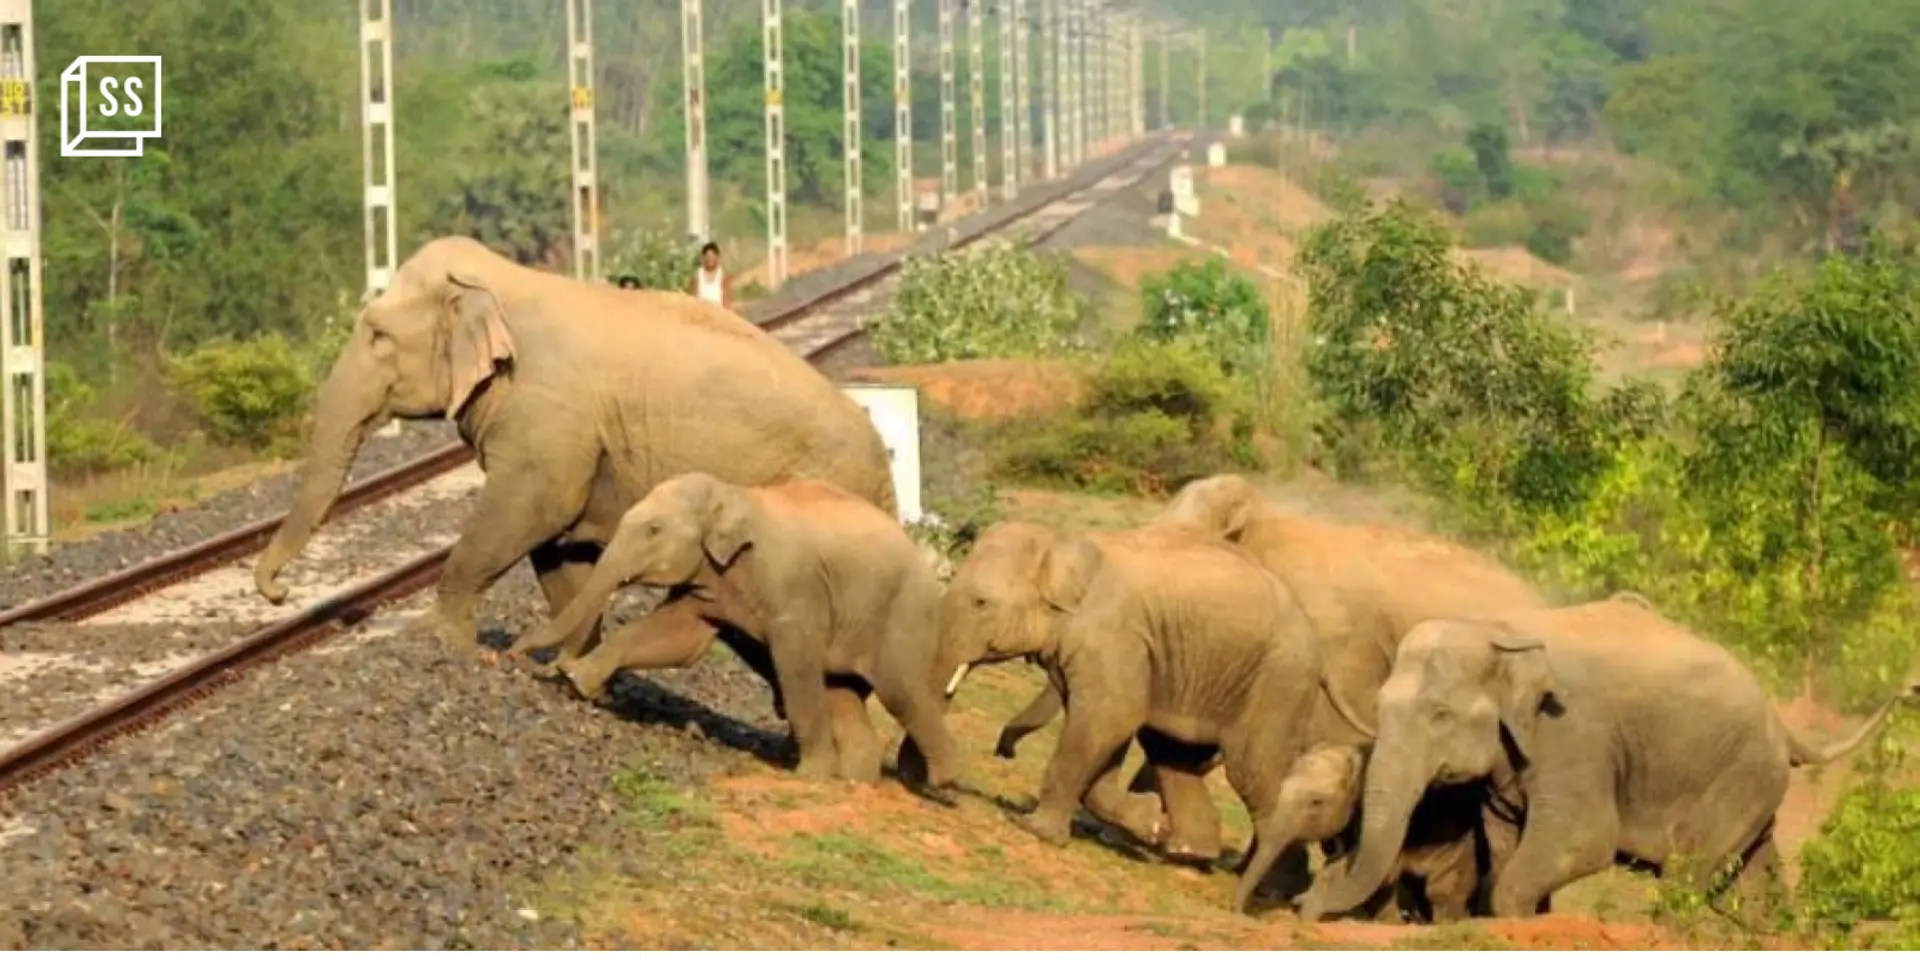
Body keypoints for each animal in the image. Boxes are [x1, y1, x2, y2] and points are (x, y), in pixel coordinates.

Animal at [251, 237, 896, 666]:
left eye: (377, 335)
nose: (278, 593)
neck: (501, 281)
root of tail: (881, 457)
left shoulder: (548, 413)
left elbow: (533, 507)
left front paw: (437, 642)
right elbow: (559, 541)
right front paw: (563, 660)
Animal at [507, 473, 961, 789]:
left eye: (654, 530)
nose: (515, 653)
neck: (731, 493)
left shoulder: (794, 591)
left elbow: (795, 665)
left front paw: (809, 775)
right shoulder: (708, 585)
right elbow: (677, 639)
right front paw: (577, 682)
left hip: (905, 615)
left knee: (900, 691)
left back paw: (938, 782)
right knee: (842, 692)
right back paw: (854, 781)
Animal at [934, 518, 1332, 902]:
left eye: (981, 602)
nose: (1004, 751)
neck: (1064, 539)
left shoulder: (1113, 636)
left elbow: (1109, 717)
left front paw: (1033, 829)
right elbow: (1109, 732)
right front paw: (1151, 824)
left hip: (1277, 682)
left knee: (1253, 770)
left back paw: (1276, 889)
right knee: (1173, 752)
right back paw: (1187, 853)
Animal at [1301, 596, 1918, 920]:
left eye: (1439, 716)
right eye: (1380, 706)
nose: (1310, 897)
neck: (1498, 628)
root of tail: (1783, 725)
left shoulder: (1574, 735)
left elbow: (1584, 839)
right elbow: (1505, 842)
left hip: (1740, 776)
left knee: (1689, 873)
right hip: (1756, 785)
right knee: (1754, 880)